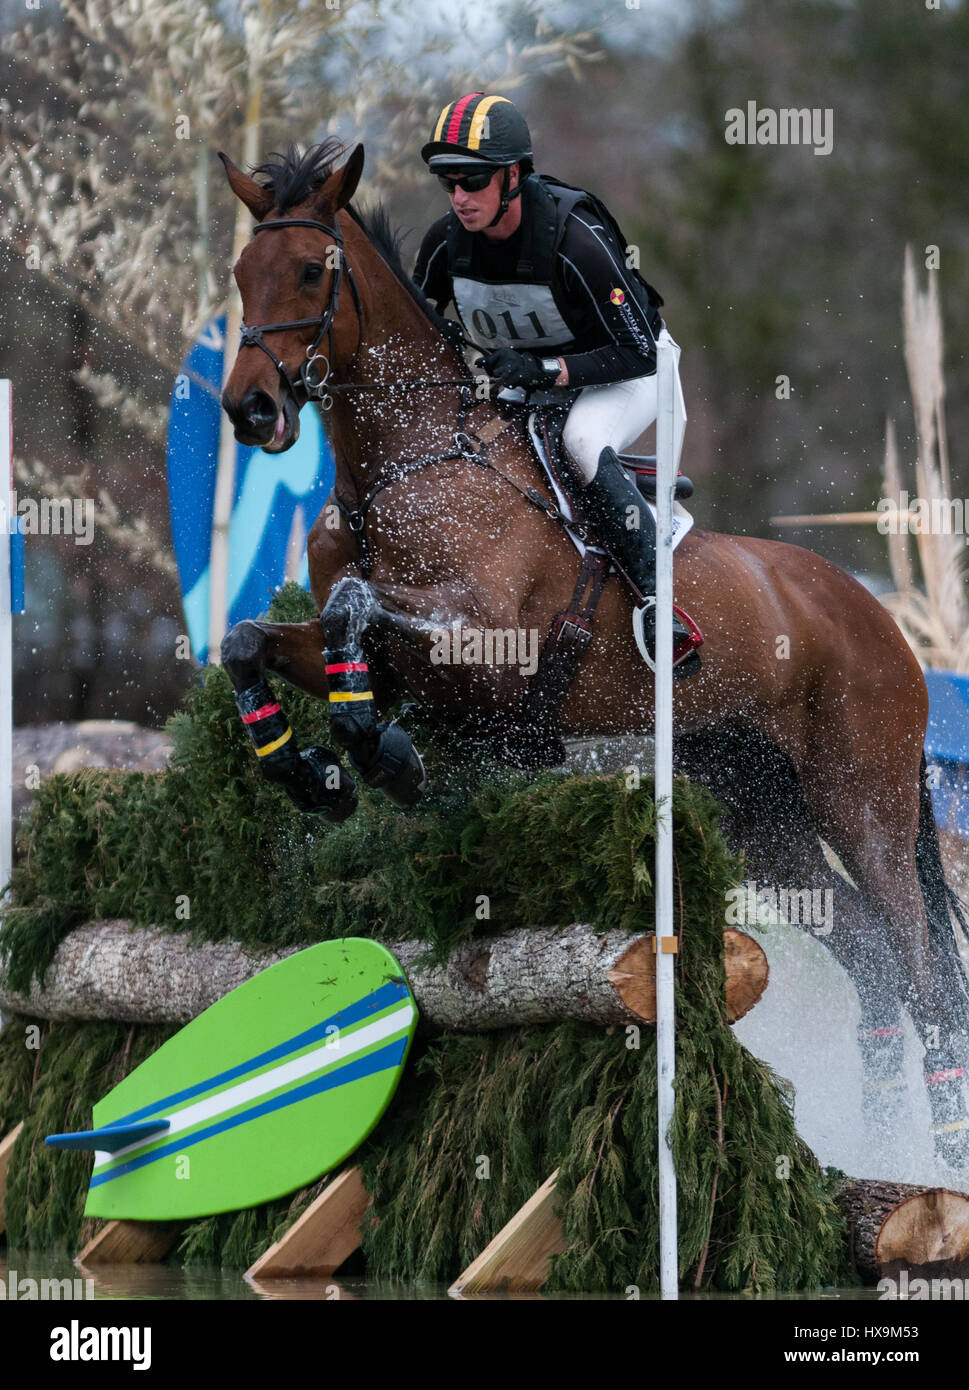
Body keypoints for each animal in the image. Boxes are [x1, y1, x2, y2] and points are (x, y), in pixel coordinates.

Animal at [216, 141, 967, 1167]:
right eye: (239, 275)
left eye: (307, 271)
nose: (249, 411)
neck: (404, 467)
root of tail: (877, 617)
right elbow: (251, 640)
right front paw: (311, 771)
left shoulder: (488, 641)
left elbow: (350, 612)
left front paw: (383, 753)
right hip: (759, 811)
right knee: (870, 959)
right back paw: (881, 1152)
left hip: (862, 799)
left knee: (920, 968)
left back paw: (934, 1159)